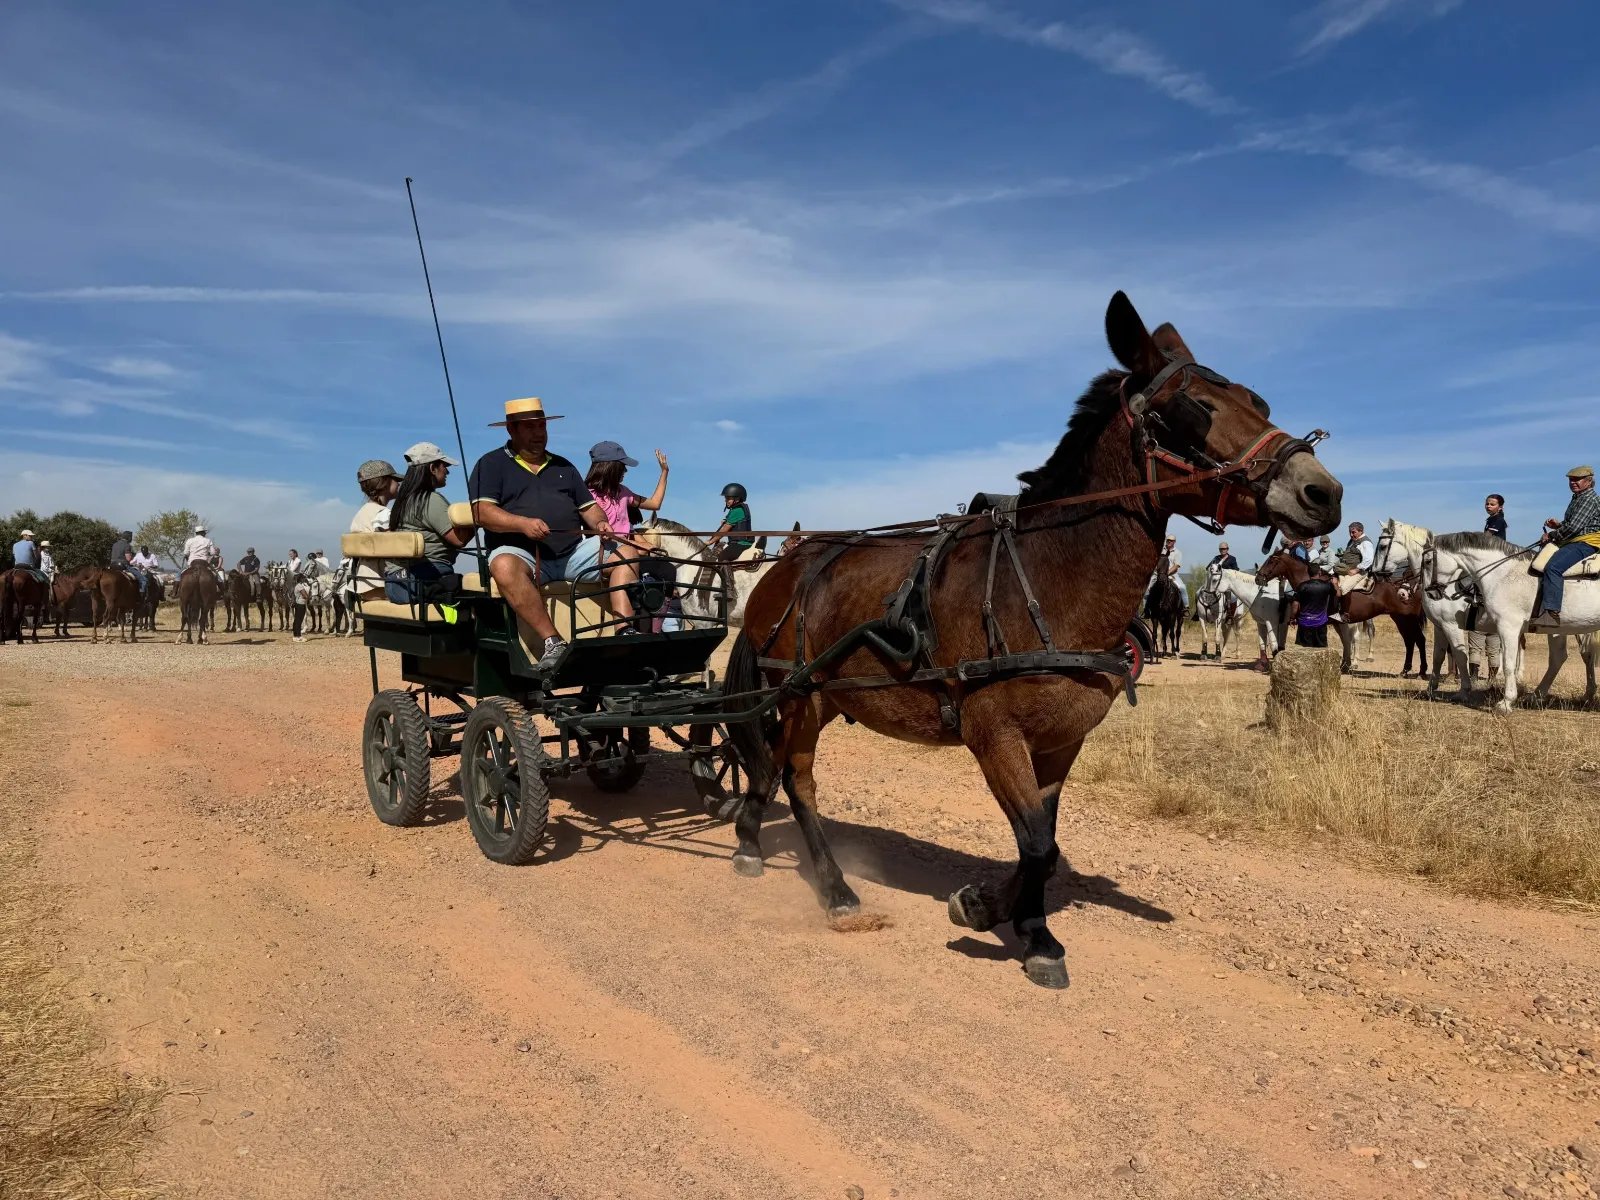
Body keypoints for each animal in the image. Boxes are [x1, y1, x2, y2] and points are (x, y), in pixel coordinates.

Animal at [723, 291, 1342, 988]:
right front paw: (1016, 925)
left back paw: (751, 834)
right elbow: (1039, 845)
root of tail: (784, 567)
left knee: (771, 765)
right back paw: (832, 888)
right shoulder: (994, 736)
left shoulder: (1061, 742)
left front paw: (1006, 914)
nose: (1323, 491)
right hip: (797, 696)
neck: (1049, 577)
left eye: (1258, 401)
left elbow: (1041, 841)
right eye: (1192, 409)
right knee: (795, 778)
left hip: (824, 697)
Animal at [1256, 548, 1426, 674]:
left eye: (1271, 560)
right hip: (1400, 619)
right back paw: (1406, 670)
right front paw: (1345, 664)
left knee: (1418, 640)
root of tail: (1408, 587)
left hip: (1406, 619)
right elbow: (1346, 641)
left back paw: (1421, 670)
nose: (1258, 578)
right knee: (1410, 641)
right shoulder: (1337, 622)